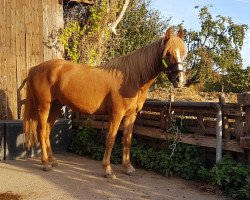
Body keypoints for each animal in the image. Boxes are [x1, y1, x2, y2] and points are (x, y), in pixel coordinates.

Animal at [23, 27, 187, 178]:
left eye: (183, 52)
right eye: (167, 53)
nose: (179, 80)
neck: (131, 78)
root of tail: (35, 69)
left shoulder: (131, 116)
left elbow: (127, 140)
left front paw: (128, 167)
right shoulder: (116, 114)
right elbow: (111, 139)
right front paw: (108, 169)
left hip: (56, 107)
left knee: (47, 131)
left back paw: (53, 160)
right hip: (44, 107)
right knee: (41, 131)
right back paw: (45, 163)